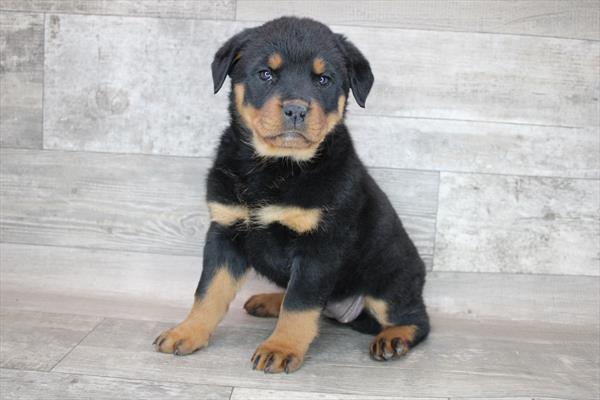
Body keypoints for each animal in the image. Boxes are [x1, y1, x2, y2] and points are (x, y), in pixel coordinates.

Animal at [152, 15, 428, 372]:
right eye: (266, 74)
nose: (296, 110)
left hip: (388, 284)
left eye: (323, 79)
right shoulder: (225, 232)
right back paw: (270, 300)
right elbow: (208, 291)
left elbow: (299, 304)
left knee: (416, 319)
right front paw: (187, 331)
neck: (276, 167)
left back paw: (393, 339)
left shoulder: (319, 246)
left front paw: (280, 348)